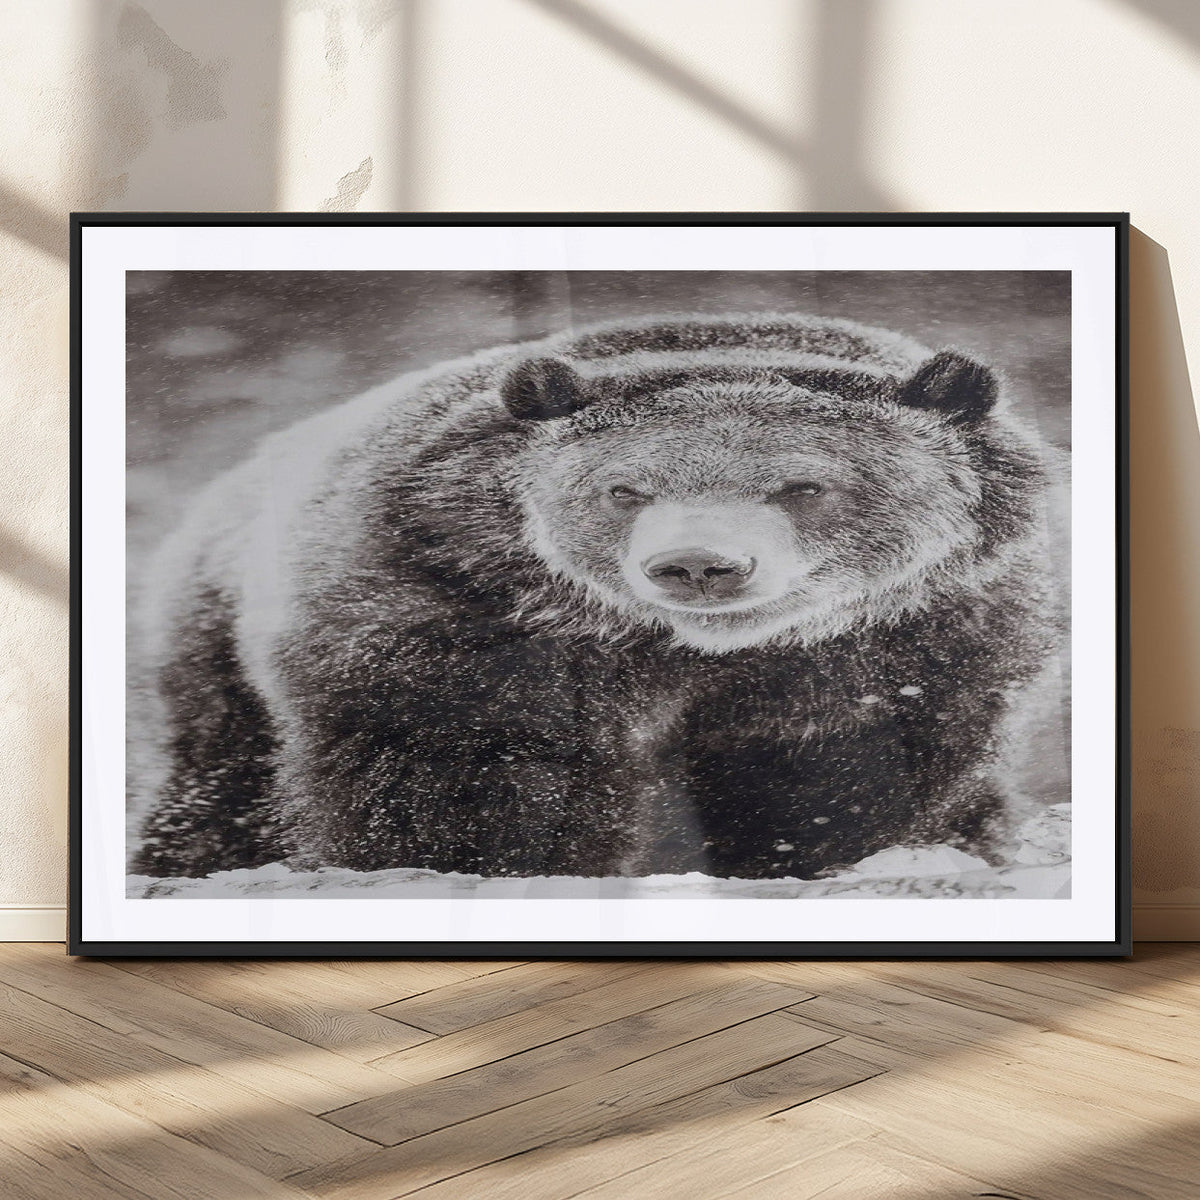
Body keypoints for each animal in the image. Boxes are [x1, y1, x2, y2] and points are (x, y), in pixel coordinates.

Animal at [129, 312, 1063, 883]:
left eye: (803, 485)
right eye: (625, 488)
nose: (699, 565)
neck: (689, 655)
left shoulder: (913, 638)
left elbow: (846, 770)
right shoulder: (450, 611)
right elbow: (469, 764)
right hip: (214, 649)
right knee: (222, 782)